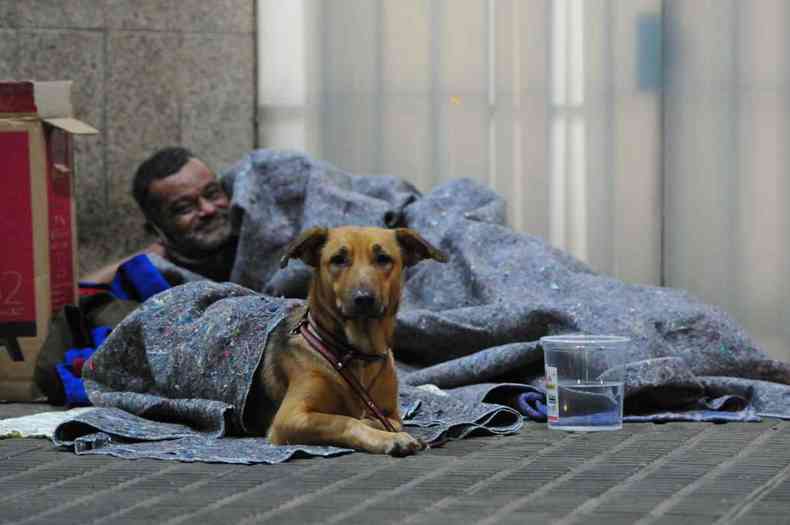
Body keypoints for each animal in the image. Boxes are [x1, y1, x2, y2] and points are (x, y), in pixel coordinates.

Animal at [249, 225, 446, 454]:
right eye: (338, 259)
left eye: (383, 258)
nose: (364, 298)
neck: (357, 353)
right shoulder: (289, 417)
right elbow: (345, 420)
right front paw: (389, 439)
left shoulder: (390, 413)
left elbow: (383, 421)